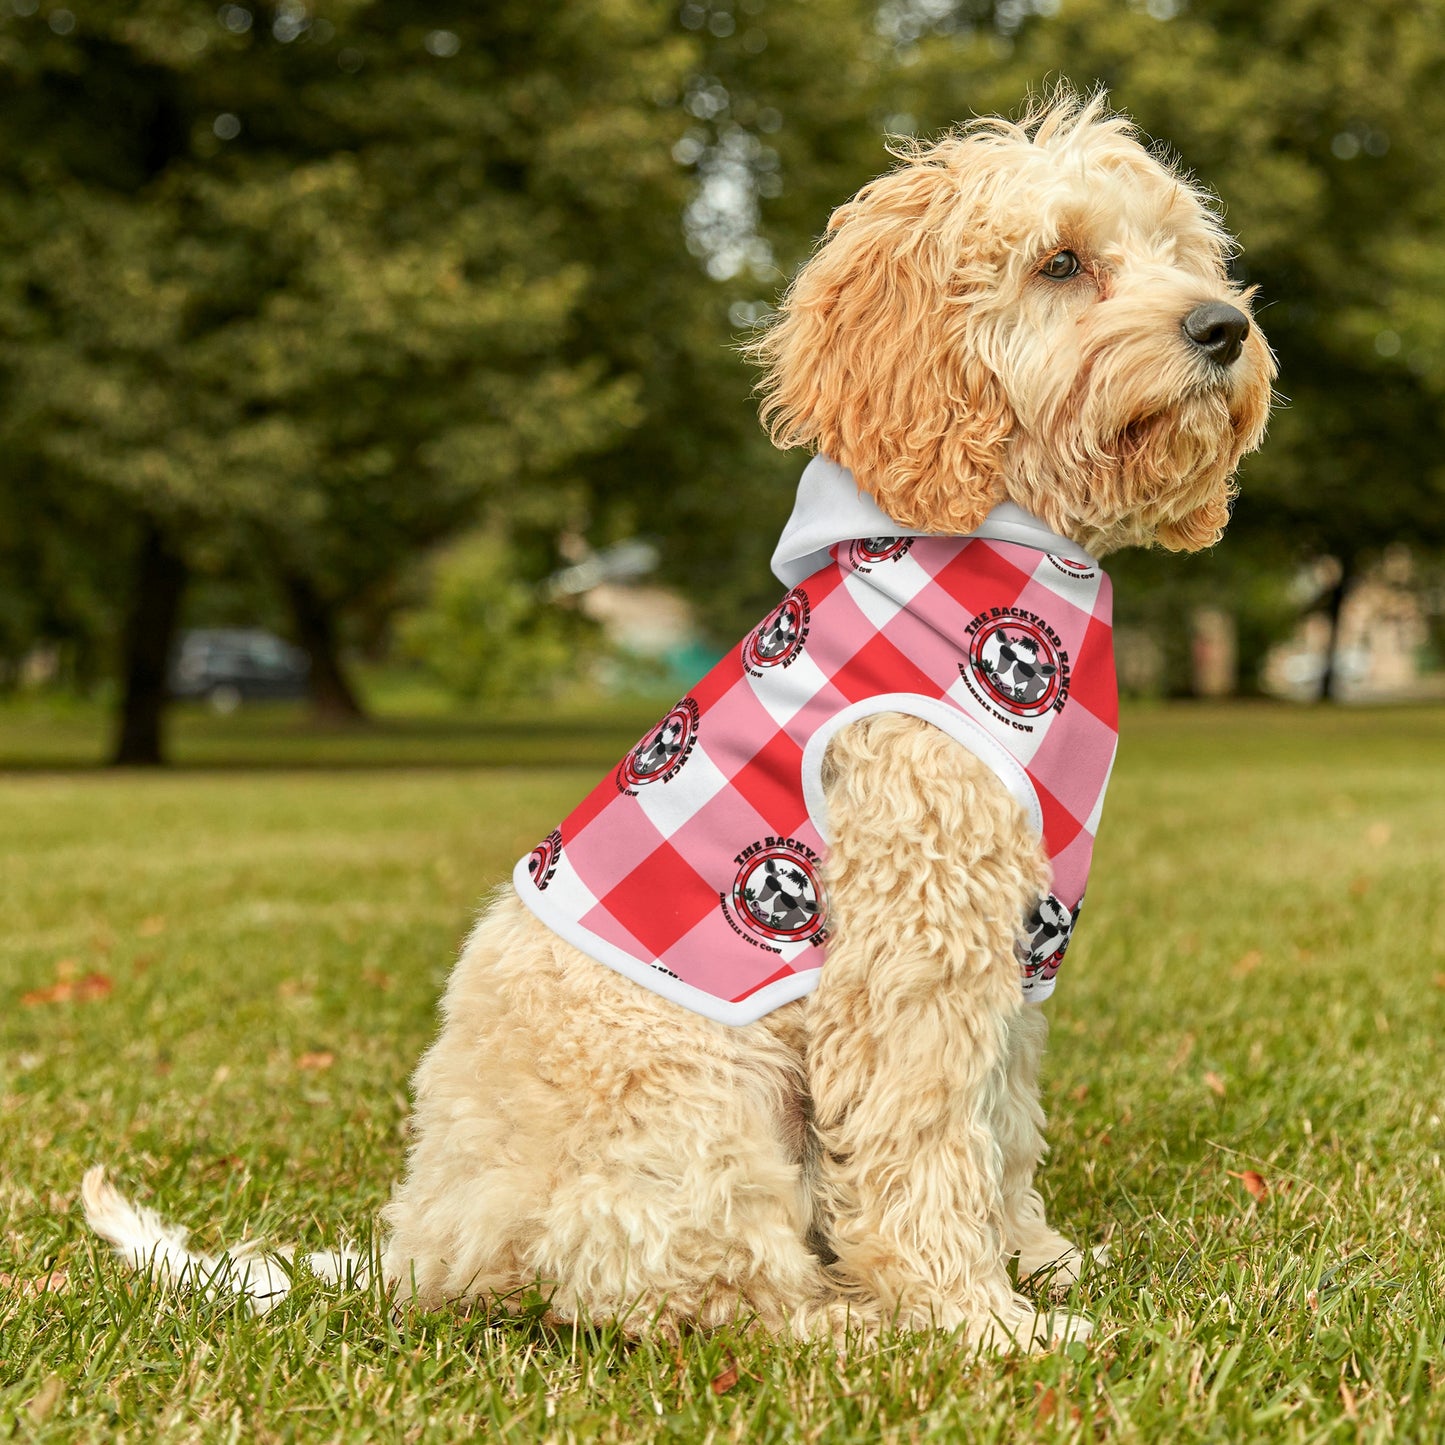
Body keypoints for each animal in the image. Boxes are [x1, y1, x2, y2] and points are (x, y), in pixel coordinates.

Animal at [84, 93, 1271, 1352]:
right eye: (1060, 262)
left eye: (1181, 252)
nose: (1222, 327)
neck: (1009, 542)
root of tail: (424, 1245)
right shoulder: (912, 942)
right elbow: (923, 1140)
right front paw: (977, 1319)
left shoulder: (1012, 943)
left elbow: (998, 1123)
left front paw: (1035, 1260)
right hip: (703, 1101)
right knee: (700, 1290)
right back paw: (852, 1322)